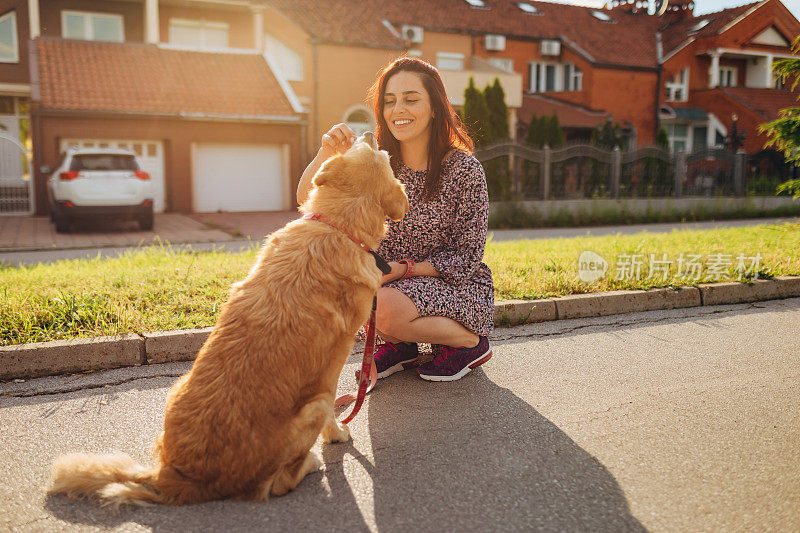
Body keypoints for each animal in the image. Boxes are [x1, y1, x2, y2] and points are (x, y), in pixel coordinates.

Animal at [47, 134, 410, 508]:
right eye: (379, 153)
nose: (368, 134)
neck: (338, 225)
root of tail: (174, 477)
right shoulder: (329, 374)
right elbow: (332, 417)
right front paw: (337, 434)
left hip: (178, 385)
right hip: (313, 405)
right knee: (279, 483)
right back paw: (309, 463)